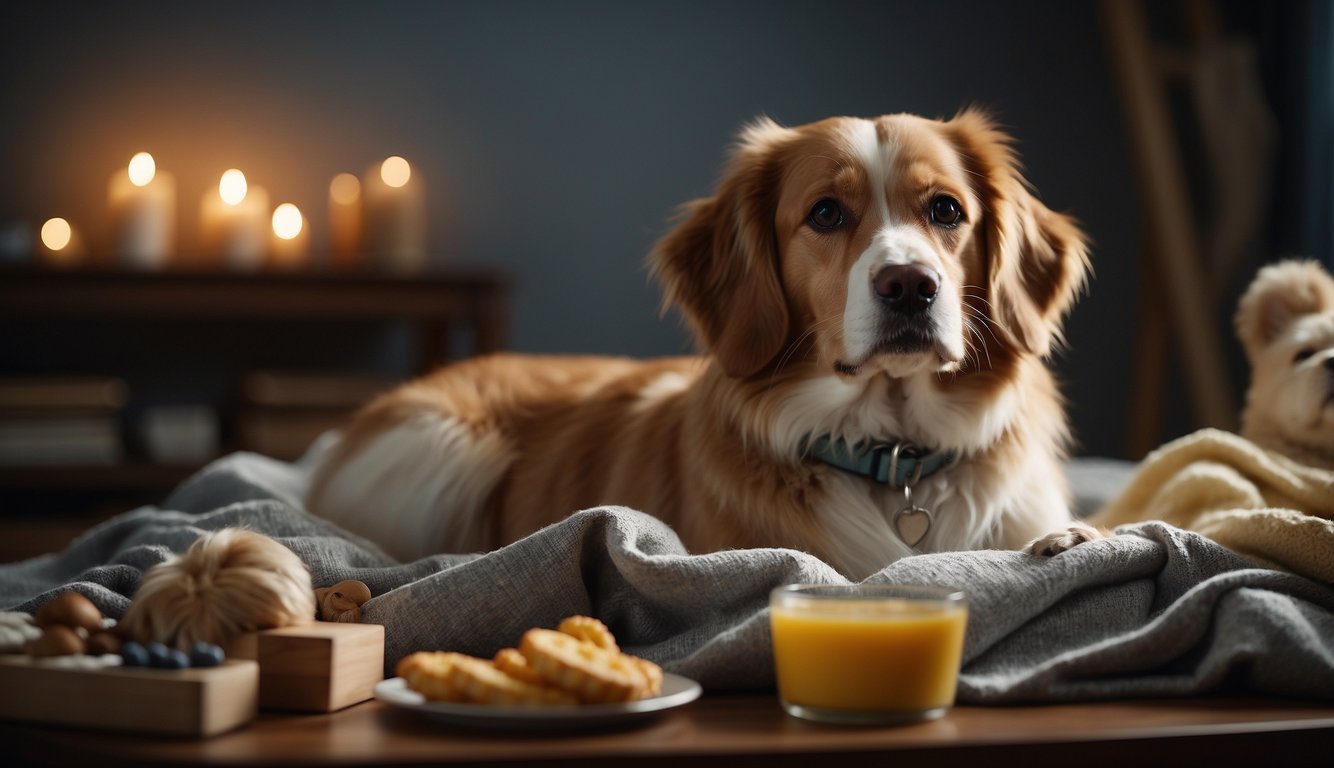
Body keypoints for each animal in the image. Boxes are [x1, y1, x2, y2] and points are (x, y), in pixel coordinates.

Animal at [306, 108, 1099, 576]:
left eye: (946, 210)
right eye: (825, 213)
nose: (910, 285)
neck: (893, 456)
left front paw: (1071, 540)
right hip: (442, 449)